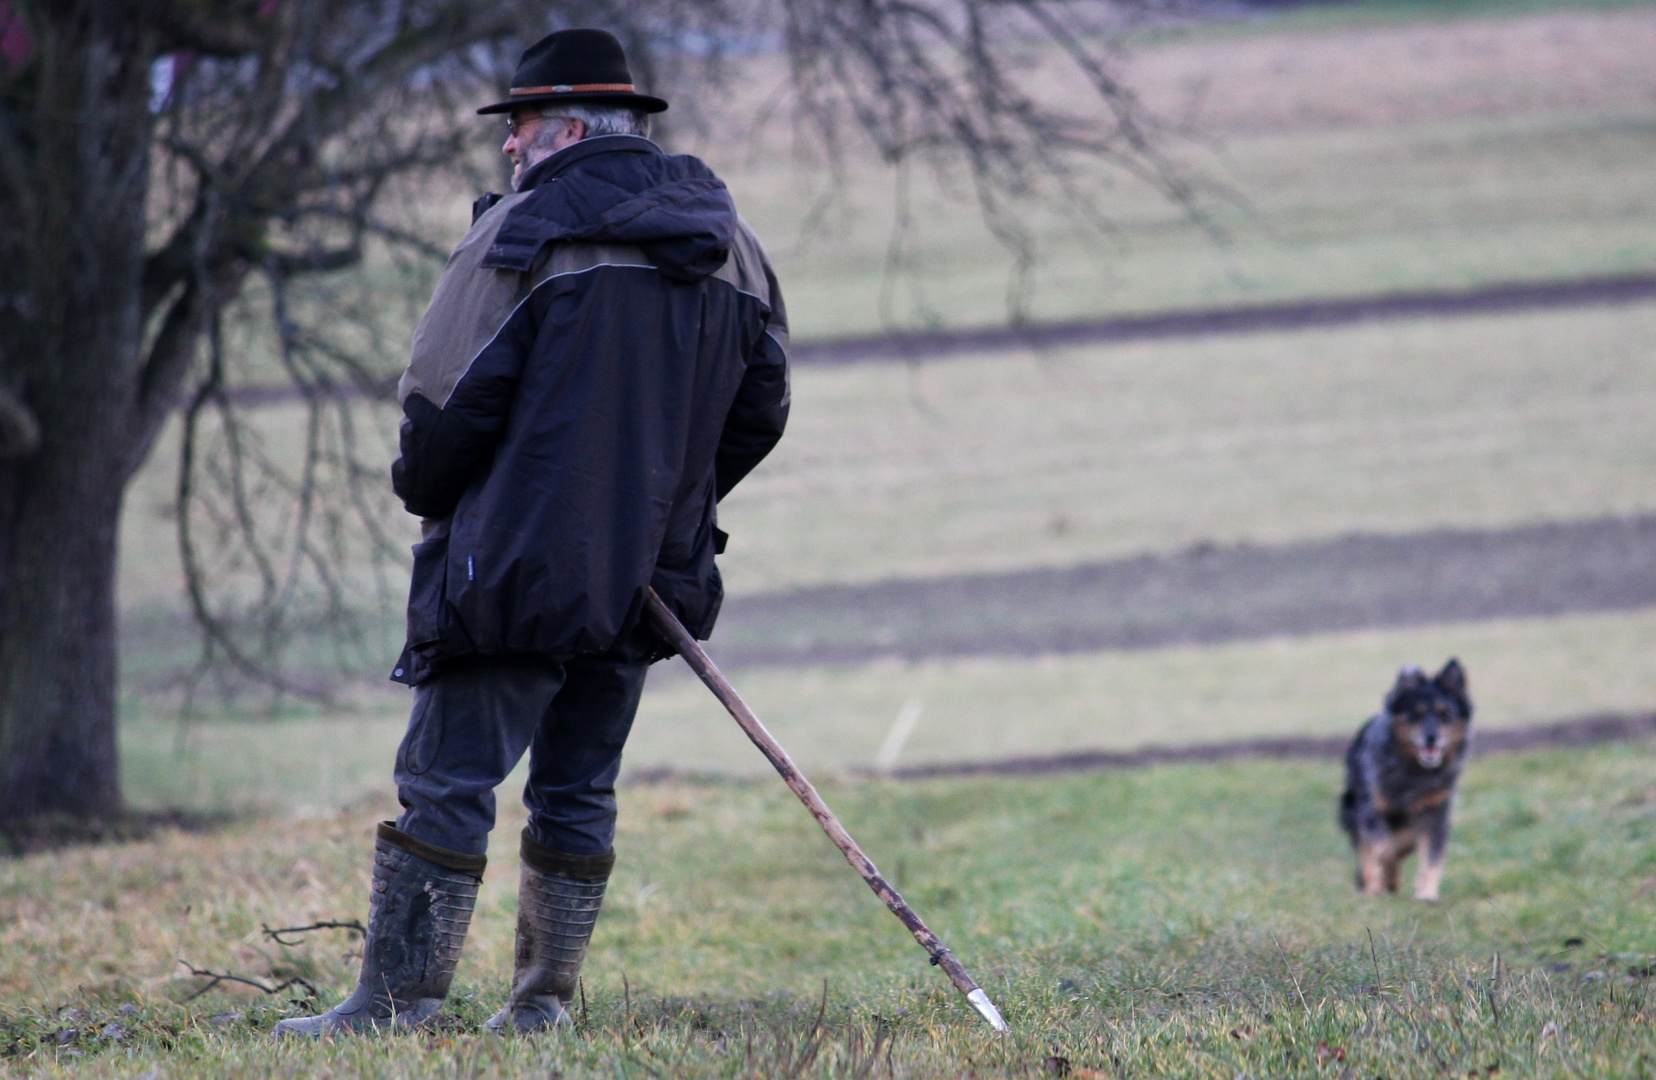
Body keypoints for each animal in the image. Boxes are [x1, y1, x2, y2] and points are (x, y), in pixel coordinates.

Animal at [1338, 659, 1470, 901]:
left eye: (1445, 713)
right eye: (1415, 713)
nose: (1431, 737)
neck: (1414, 772)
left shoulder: (1435, 812)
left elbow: (1431, 856)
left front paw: (1426, 894)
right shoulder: (1372, 809)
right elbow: (1383, 850)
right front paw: (1387, 879)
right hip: (1352, 808)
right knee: (1367, 852)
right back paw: (1373, 887)